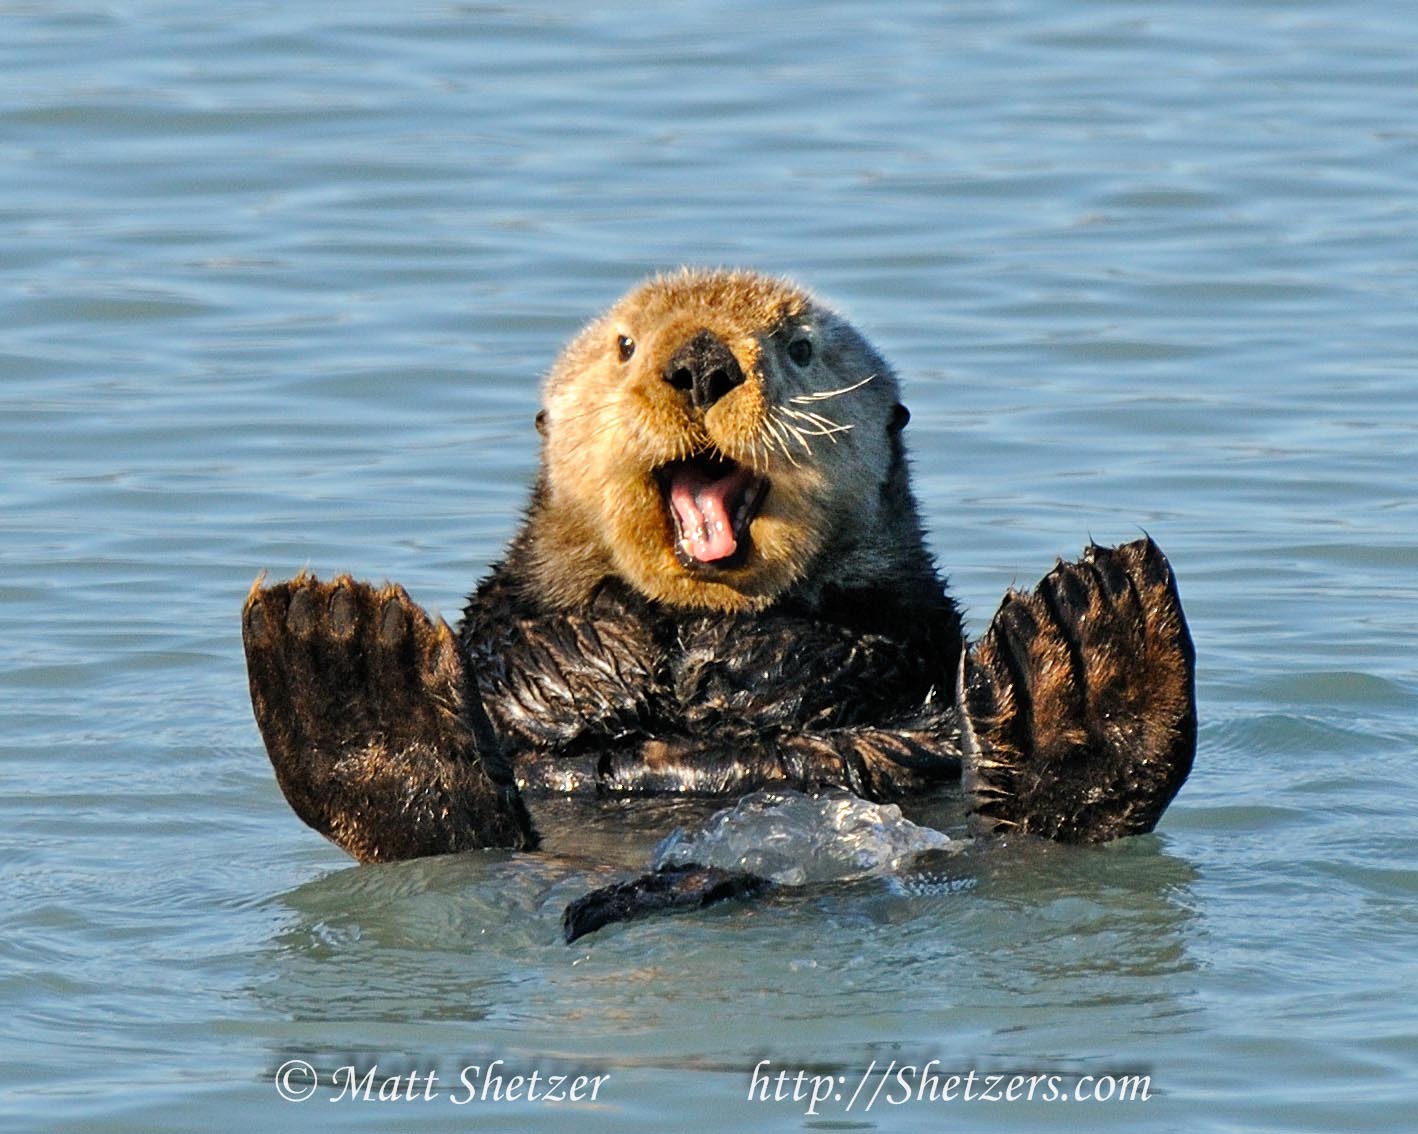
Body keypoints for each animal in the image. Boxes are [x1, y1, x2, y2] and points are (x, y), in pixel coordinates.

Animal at [242, 269, 1195, 933]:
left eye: (799, 348)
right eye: (625, 346)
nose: (701, 361)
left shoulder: (905, 631)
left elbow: (852, 650)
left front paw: (735, 662)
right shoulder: (512, 621)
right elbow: (527, 647)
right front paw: (611, 657)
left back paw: (1088, 653)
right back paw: (350, 668)